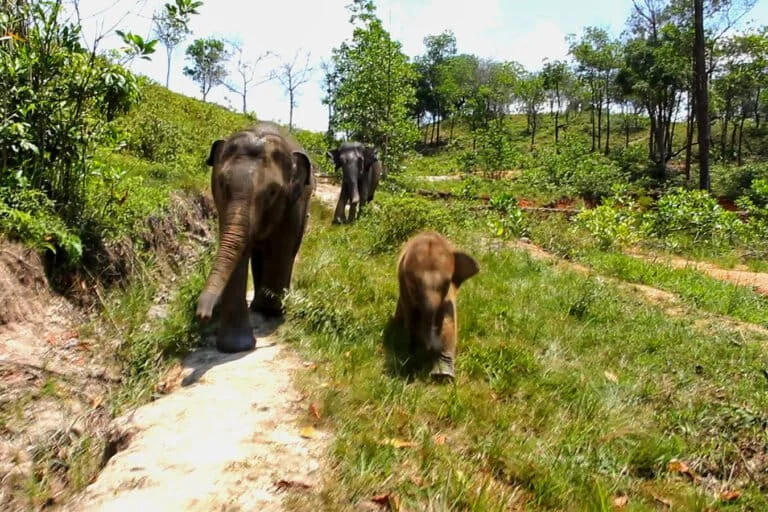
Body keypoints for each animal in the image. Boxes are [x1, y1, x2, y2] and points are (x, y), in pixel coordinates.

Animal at [196, 122, 316, 353]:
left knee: (286, 252)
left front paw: (271, 311)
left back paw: (269, 306)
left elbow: (280, 247)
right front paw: (235, 347)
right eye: (222, 184)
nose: (202, 316)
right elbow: (238, 252)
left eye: (272, 192)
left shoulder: (293, 204)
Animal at [394, 231, 479, 380]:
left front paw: (442, 375)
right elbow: (411, 317)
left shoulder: (448, 295)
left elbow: (448, 320)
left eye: (446, 283)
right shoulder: (404, 286)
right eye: (413, 286)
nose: (431, 347)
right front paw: (412, 356)